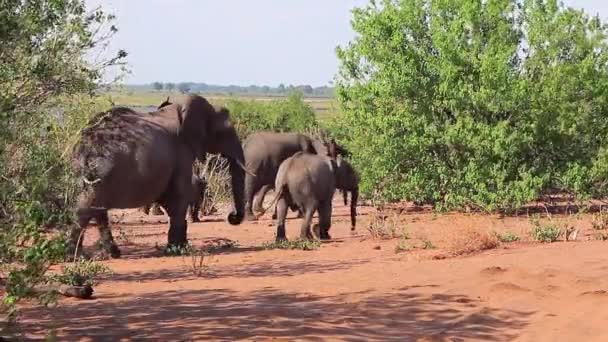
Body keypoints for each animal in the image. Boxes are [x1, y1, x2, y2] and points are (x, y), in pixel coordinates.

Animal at [72, 95, 248, 258]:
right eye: (223, 133)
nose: (232, 217)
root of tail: (85, 141)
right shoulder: (181, 151)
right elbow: (179, 197)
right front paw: (178, 250)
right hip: (103, 167)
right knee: (89, 205)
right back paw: (76, 255)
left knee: (97, 207)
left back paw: (109, 254)